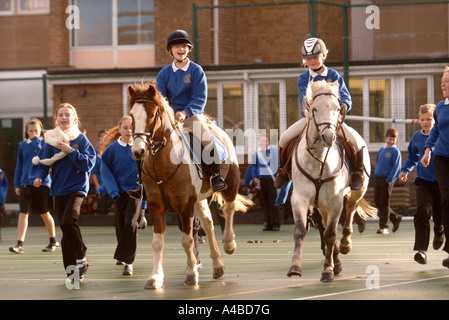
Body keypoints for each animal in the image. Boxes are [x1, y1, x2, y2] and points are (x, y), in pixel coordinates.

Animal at [127, 83, 252, 290]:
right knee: (208, 224)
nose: (138, 151)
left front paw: (192, 274)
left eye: (152, 115)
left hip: (230, 186)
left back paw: (229, 243)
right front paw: (155, 277)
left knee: (229, 209)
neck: (163, 164)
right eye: (131, 115)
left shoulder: (185, 207)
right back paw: (217, 265)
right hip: (198, 200)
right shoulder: (156, 206)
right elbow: (157, 242)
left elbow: (187, 240)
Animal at [288, 80, 374, 282]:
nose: (328, 137)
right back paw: (337, 259)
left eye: (337, 108)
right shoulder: (300, 198)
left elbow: (330, 234)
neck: (319, 159)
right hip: (321, 203)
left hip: (357, 191)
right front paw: (295, 267)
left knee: (350, 209)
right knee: (326, 222)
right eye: (314, 109)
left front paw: (327, 270)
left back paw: (345, 244)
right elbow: (300, 231)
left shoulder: (335, 201)